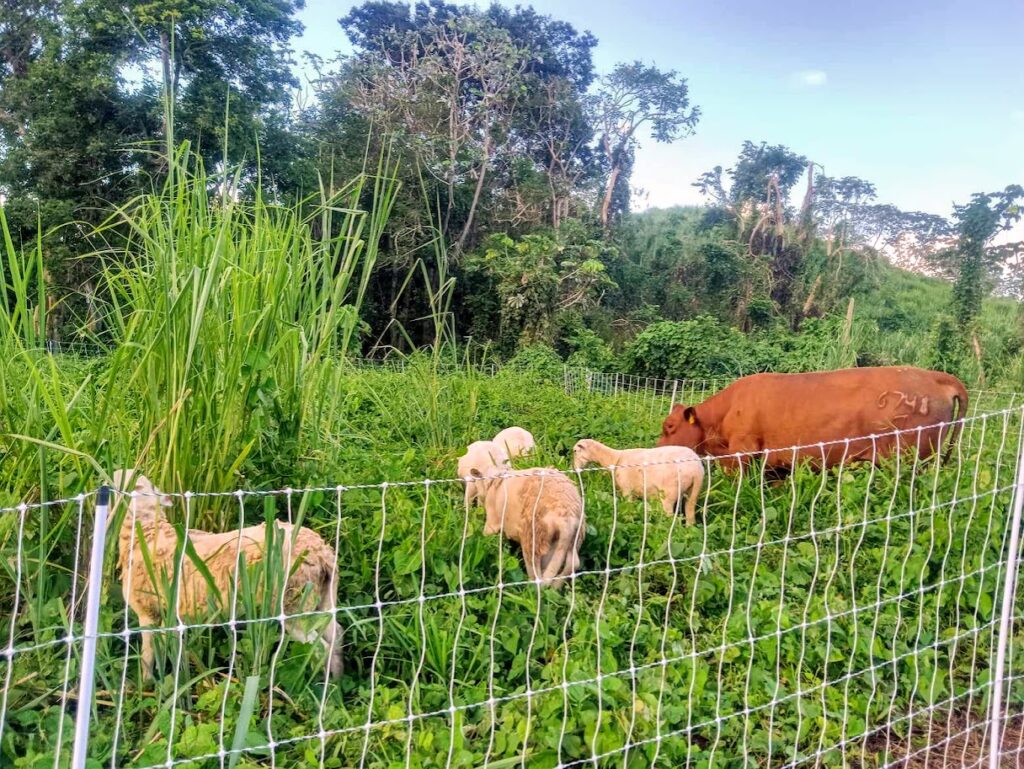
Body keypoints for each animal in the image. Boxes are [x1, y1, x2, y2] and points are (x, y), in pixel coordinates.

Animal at [110, 468, 344, 679]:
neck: (147, 532)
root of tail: (322, 552)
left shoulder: (147, 612)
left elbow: (148, 656)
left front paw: (145, 686)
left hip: (291, 604)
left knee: (320, 647)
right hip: (320, 600)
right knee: (336, 635)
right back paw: (336, 682)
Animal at [573, 442, 708, 528]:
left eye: (575, 451)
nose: (574, 469)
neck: (615, 458)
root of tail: (695, 469)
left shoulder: (627, 490)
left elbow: (629, 508)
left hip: (669, 493)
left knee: (670, 516)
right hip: (693, 491)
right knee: (690, 513)